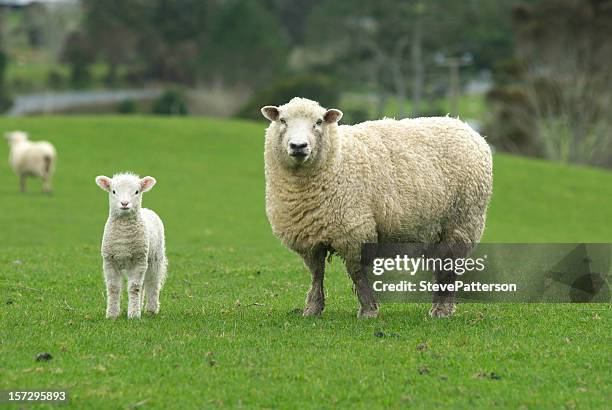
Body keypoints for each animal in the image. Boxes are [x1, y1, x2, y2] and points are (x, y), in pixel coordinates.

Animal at [95, 171, 167, 318]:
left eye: (136, 191)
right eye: (113, 191)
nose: (124, 203)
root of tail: (147, 209)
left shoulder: (138, 260)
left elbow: (134, 288)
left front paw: (133, 314)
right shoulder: (109, 260)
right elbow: (113, 288)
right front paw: (112, 314)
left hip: (155, 258)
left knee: (152, 283)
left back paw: (151, 309)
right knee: (144, 285)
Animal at [260, 97, 492, 318]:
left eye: (318, 122)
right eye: (283, 121)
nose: (298, 146)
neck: (337, 159)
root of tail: (464, 126)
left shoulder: (355, 231)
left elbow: (356, 273)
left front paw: (368, 310)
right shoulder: (308, 237)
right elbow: (316, 273)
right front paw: (313, 308)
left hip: (462, 222)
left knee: (449, 267)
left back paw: (443, 310)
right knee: (442, 266)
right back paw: (439, 307)